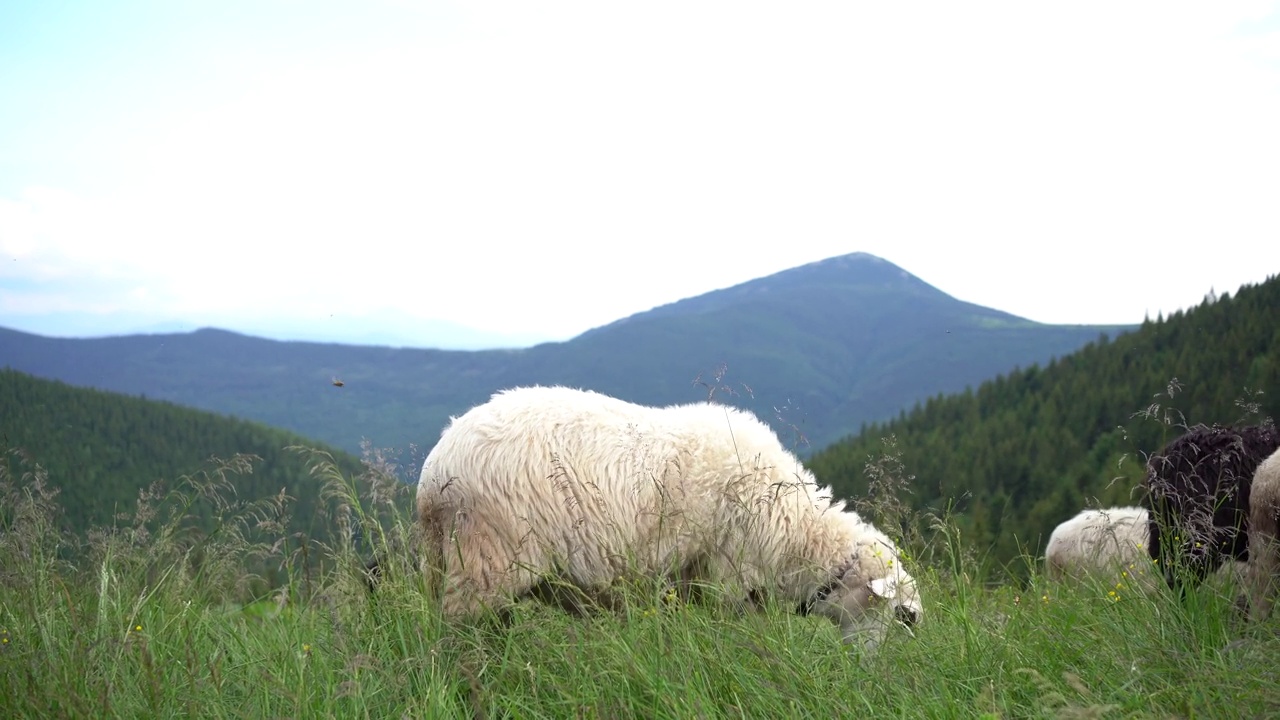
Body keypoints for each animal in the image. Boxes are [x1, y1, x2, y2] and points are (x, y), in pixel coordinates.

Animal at [409, 386, 921, 650]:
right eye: (904, 616)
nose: (882, 675)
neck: (801, 532)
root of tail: (434, 471)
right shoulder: (730, 578)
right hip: (487, 558)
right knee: (462, 634)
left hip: (449, 561)